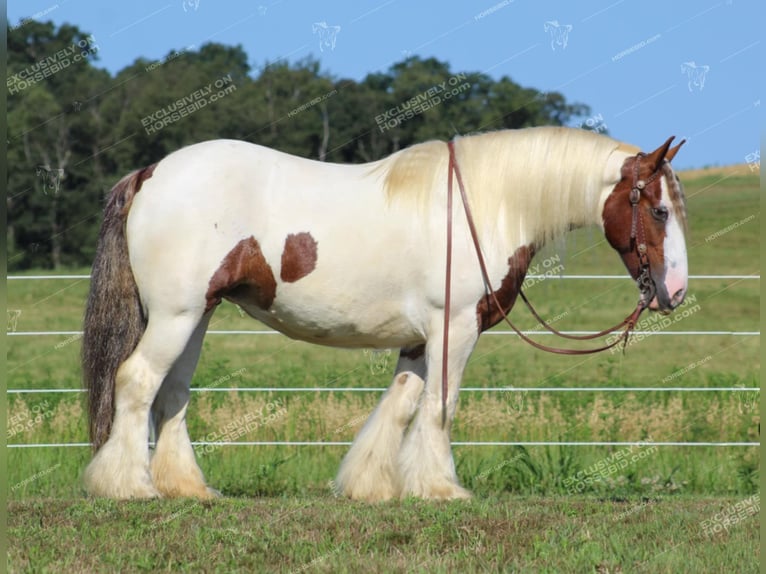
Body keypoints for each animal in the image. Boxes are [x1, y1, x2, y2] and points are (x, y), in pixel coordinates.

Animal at [82, 125, 688, 500]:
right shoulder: (455, 328)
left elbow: (400, 405)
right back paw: (130, 486)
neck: (487, 206)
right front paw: (441, 488)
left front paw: (372, 485)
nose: (676, 291)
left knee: (172, 393)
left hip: (195, 316)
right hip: (176, 315)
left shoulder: (420, 337)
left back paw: (187, 487)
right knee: (136, 381)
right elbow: (440, 406)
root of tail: (151, 173)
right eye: (659, 210)